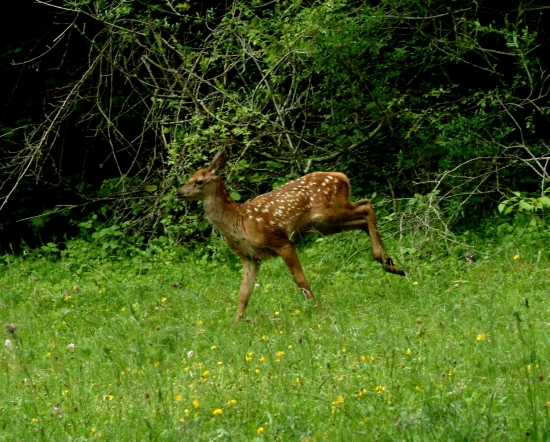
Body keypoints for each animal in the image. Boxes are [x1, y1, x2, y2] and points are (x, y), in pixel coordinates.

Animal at [177, 151, 406, 322]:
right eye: (190, 178)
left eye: (199, 181)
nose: (179, 193)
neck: (239, 222)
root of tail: (341, 176)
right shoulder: (250, 257)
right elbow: (243, 293)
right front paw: (235, 324)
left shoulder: (280, 241)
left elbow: (301, 279)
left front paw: (320, 312)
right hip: (327, 224)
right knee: (362, 219)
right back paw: (391, 264)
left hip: (331, 211)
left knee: (366, 205)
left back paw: (387, 262)